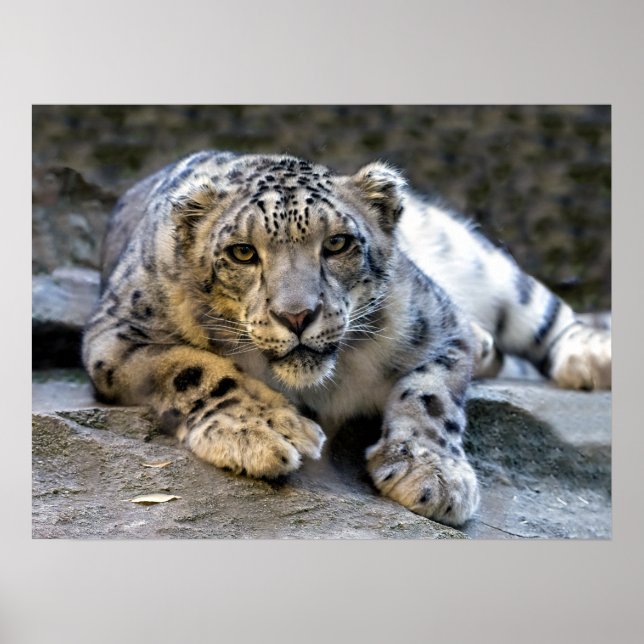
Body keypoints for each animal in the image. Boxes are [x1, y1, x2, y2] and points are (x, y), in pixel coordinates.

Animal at [82, 150, 611, 527]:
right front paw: (266, 431)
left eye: (337, 243)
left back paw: (591, 357)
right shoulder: (117, 334)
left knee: (541, 308)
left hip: (478, 260)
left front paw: (432, 474)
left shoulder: (440, 323)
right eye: (242, 252)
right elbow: (193, 368)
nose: (297, 315)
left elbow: (431, 396)